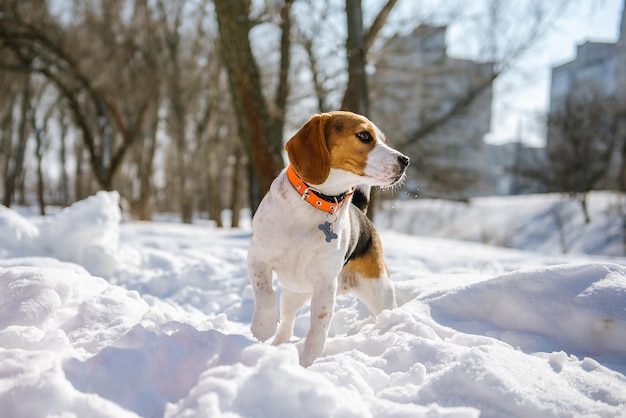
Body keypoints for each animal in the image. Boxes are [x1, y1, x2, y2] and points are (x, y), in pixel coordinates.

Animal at [246, 110, 408, 366]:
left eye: (383, 139)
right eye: (364, 136)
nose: (405, 160)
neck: (318, 200)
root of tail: (362, 213)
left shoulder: (325, 284)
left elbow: (318, 328)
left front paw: (308, 364)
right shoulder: (257, 260)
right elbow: (265, 294)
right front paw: (263, 326)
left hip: (380, 291)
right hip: (293, 294)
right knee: (287, 324)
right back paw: (277, 347)